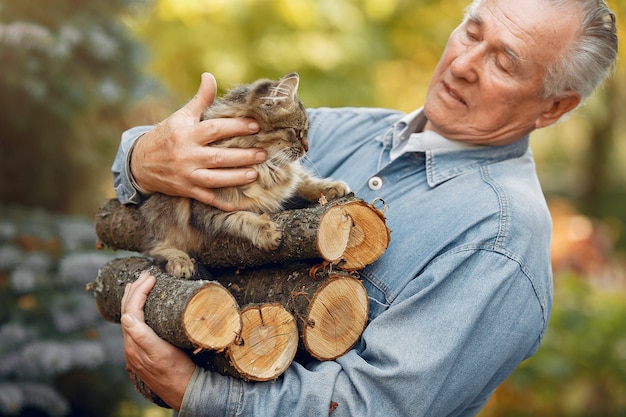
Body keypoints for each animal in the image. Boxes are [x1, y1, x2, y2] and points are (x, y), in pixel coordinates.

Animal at [138, 72, 348, 278]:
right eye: (297, 132)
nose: (307, 149)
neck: (265, 167)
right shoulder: (207, 211)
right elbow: (240, 217)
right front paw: (266, 231)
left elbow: (303, 181)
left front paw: (329, 187)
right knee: (158, 247)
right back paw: (180, 262)